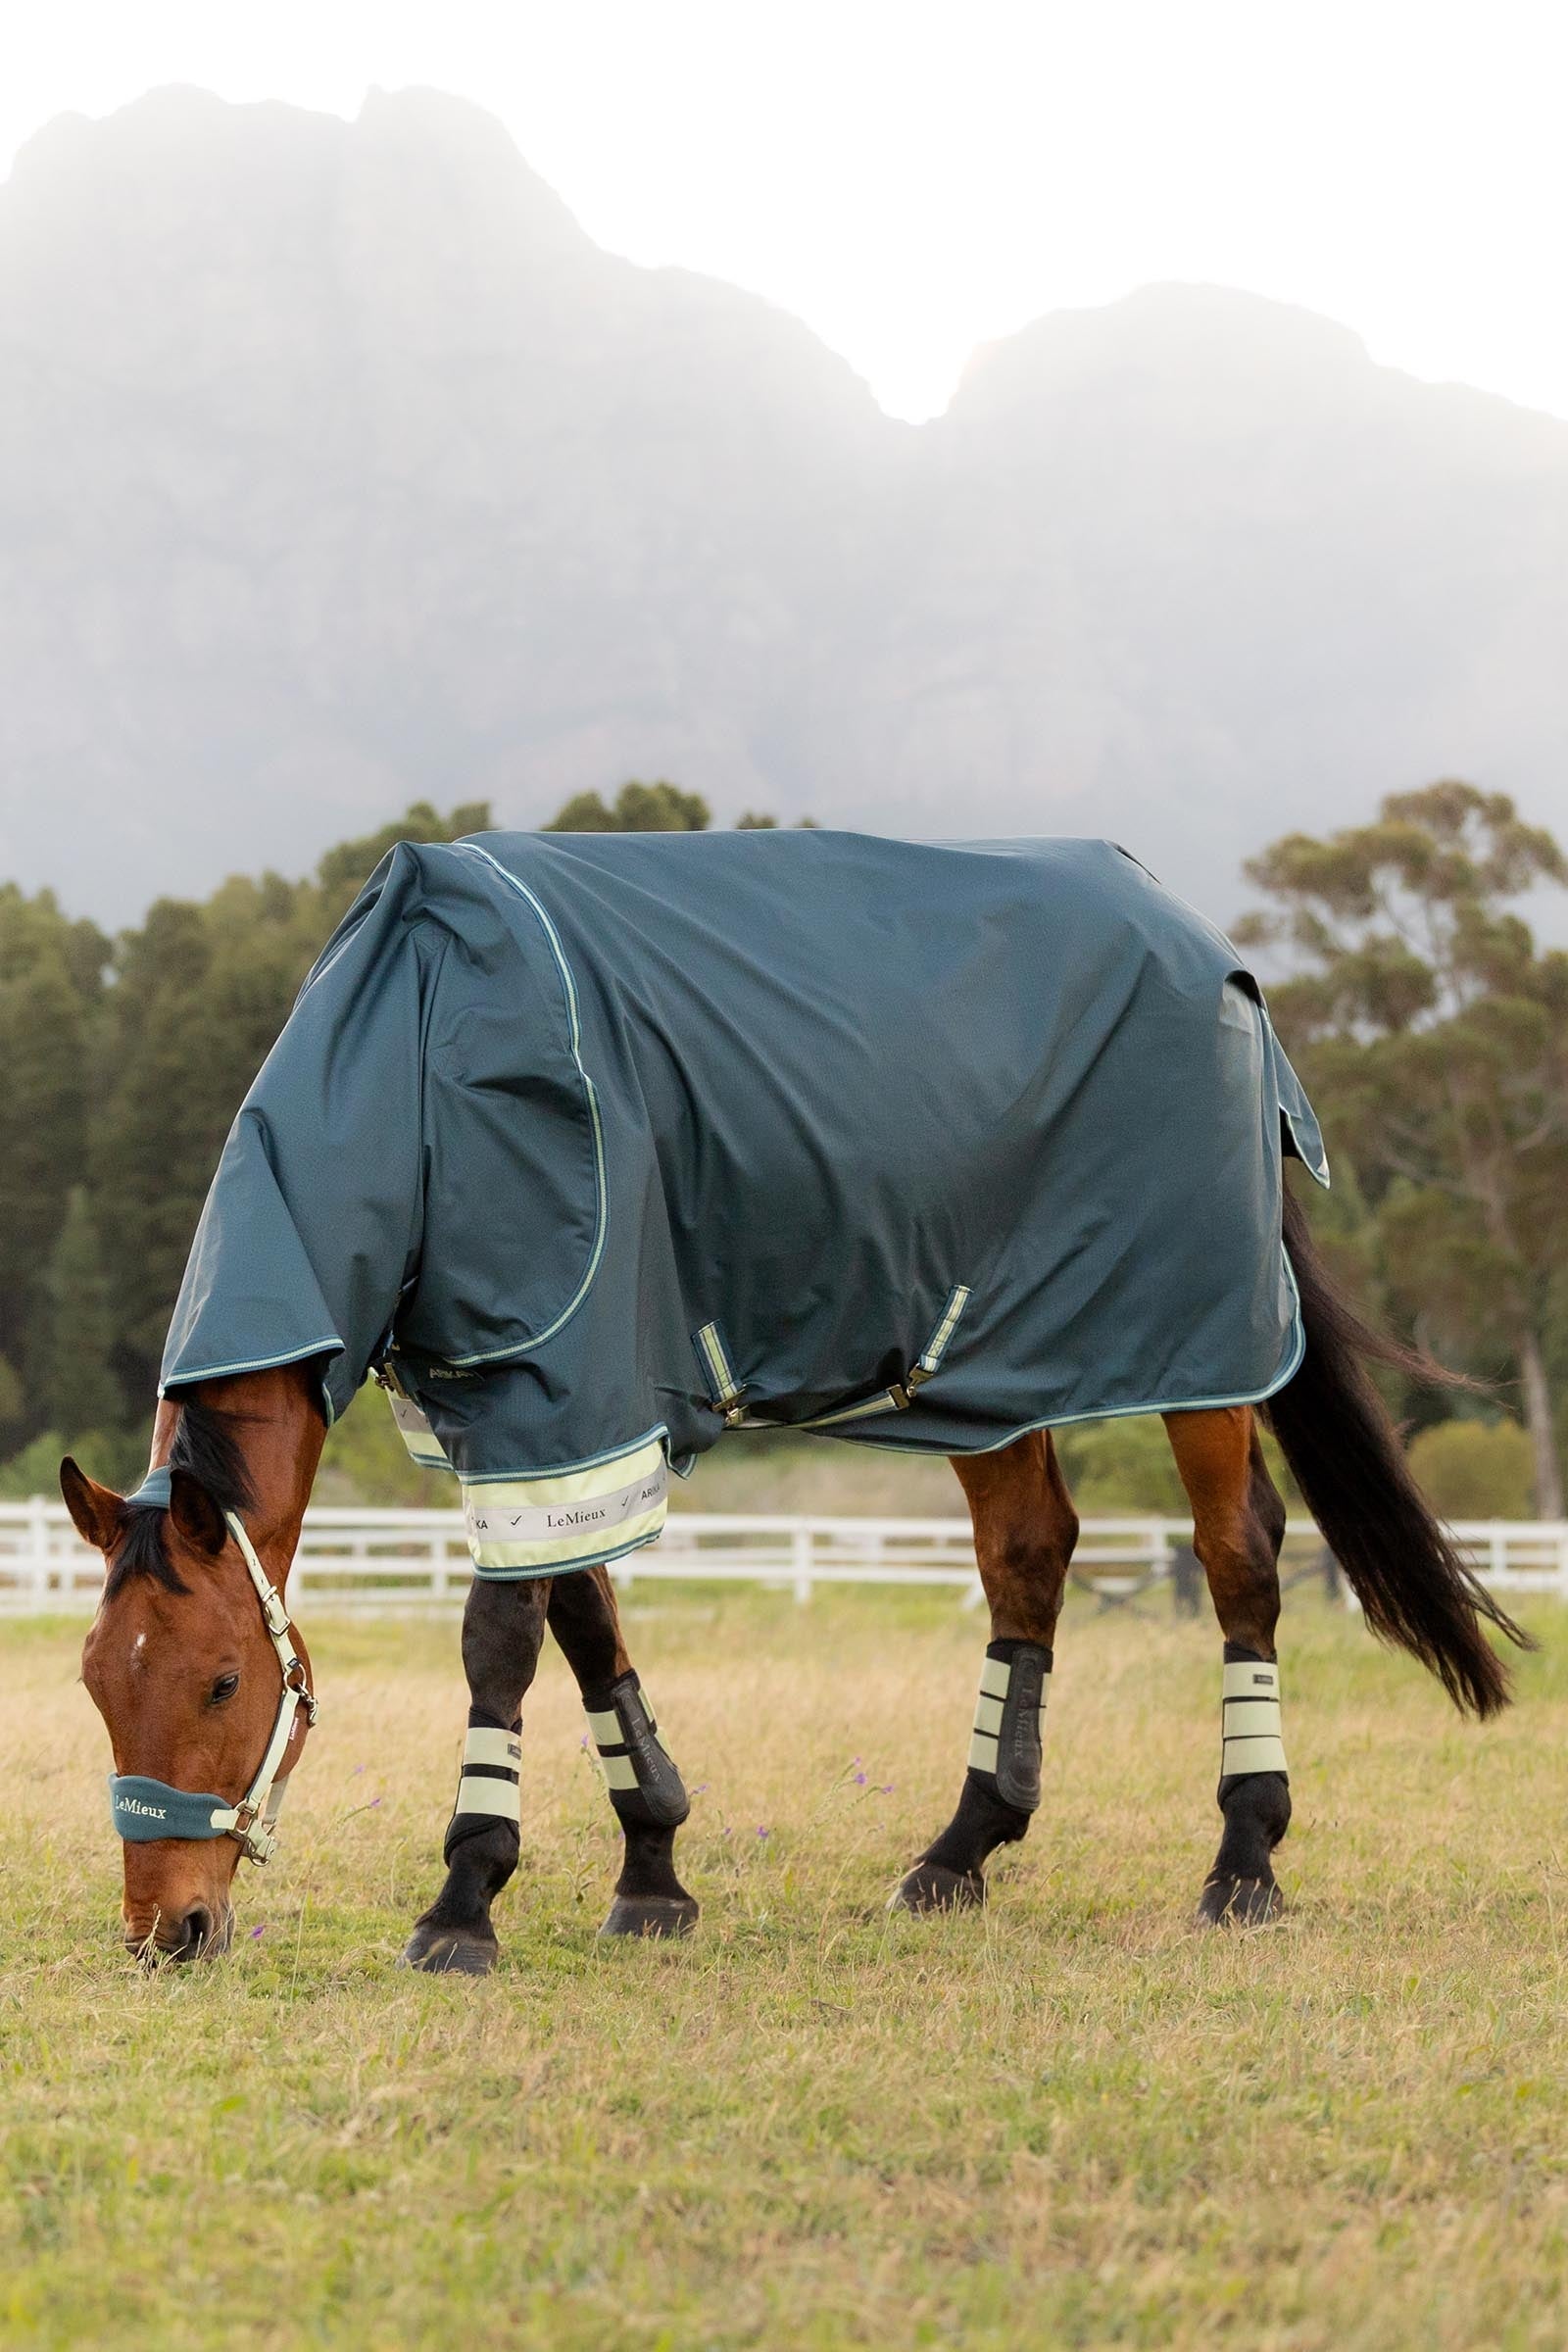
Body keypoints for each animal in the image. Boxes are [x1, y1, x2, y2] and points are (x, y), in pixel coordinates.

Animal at [62, 830, 1526, 1965]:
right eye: (92, 1681)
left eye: (220, 1681)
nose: (167, 1932)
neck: (422, 1052)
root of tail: (1211, 950)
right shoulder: (533, 1412)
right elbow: (586, 1622)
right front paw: (651, 1873)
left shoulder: (562, 1386)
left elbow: (501, 1643)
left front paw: (465, 1899)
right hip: (992, 1364)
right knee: (1030, 1551)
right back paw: (961, 1850)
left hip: (1197, 1350)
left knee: (1238, 1558)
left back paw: (1243, 1862)